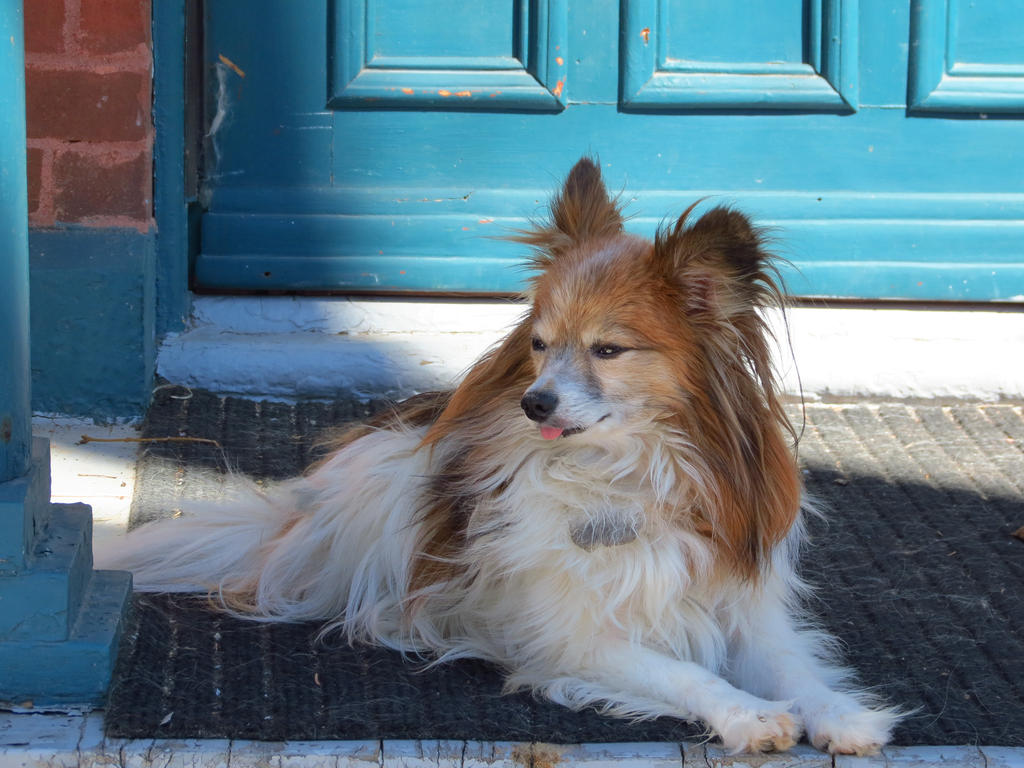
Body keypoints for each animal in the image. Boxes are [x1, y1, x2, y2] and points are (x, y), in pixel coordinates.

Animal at [101, 159, 897, 753]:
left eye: (609, 350)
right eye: (540, 344)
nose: (533, 404)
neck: (629, 472)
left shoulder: (744, 608)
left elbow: (796, 671)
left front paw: (842, 715)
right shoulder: (574, 636)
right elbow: (686, 675)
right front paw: (750, 715)